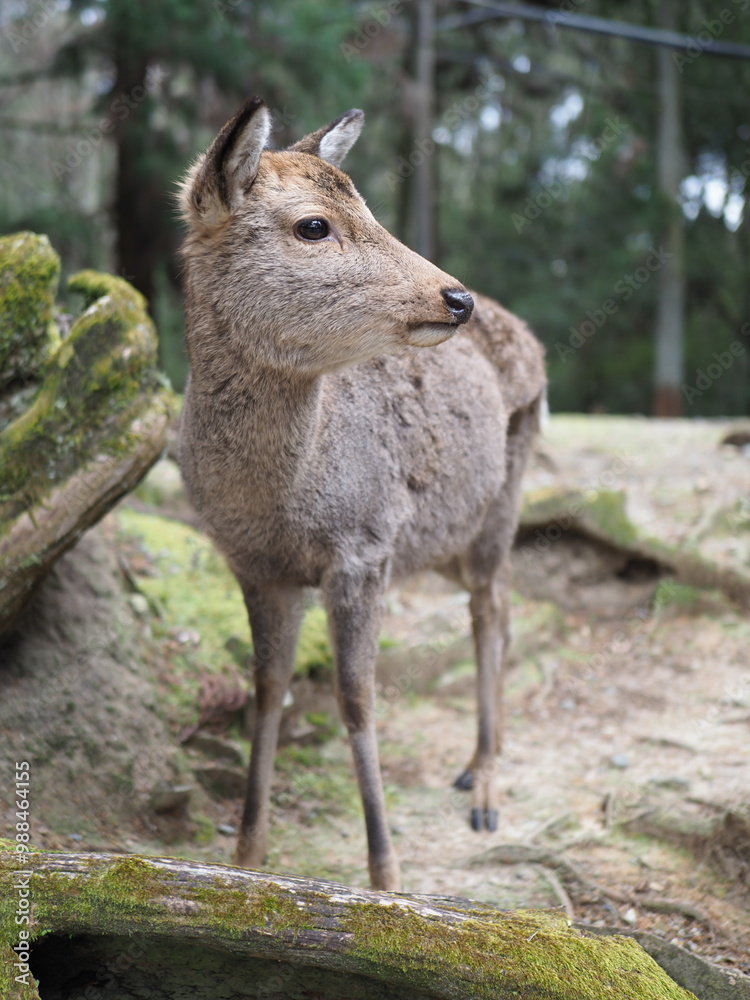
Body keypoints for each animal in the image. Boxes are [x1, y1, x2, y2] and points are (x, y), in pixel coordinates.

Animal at [178, 98, 546, 892]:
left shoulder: (364, 546)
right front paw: (246, 855)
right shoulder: (254, 567)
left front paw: (385, 873)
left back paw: (487, 786)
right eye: (314, 225)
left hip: (505, 498)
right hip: (445, 537)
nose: (456, 297)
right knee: (498, 605)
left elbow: (356, 698)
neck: (279, 505)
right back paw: (480, 762)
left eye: (371, 207)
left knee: (491, 610)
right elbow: (268, 690)